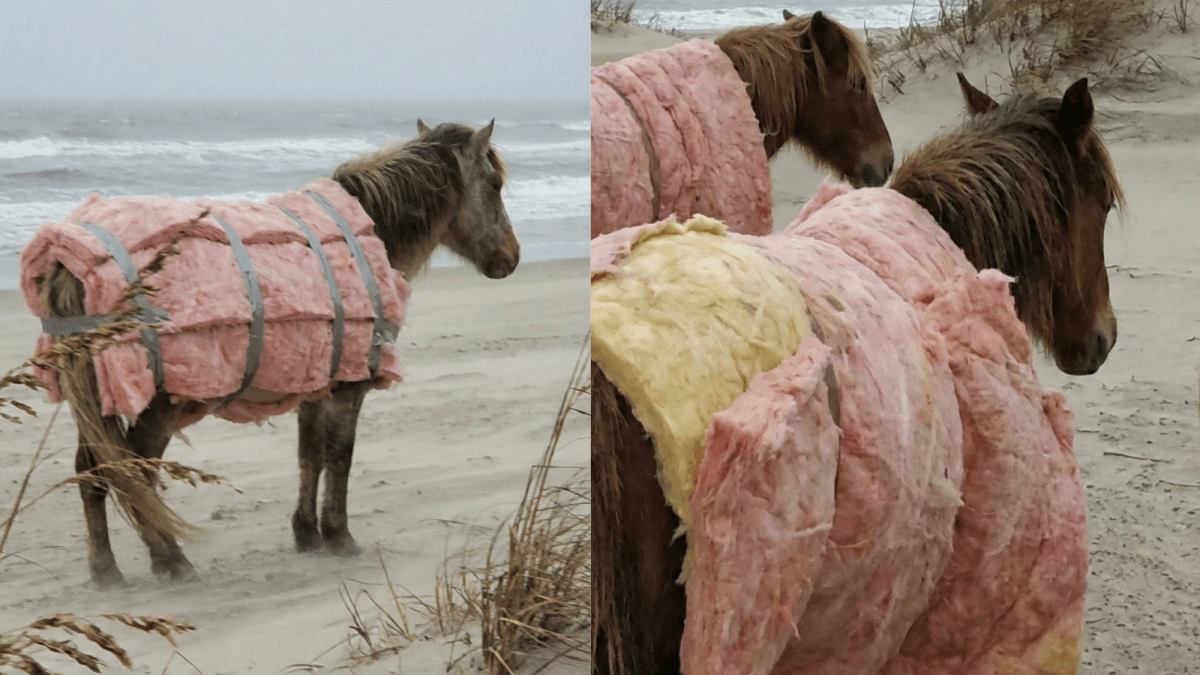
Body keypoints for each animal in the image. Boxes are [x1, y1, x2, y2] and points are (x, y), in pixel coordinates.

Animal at [31, 119, 519, 588]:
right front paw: (339, 535)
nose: (511, 258)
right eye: (494, 183)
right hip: (157, 404)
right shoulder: (350, 384)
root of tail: (69, 264)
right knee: (133, 474)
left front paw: (308, 534)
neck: (370, 232)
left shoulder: (318, 381)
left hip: (96, 399)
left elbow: (310, 455)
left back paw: (106, 570)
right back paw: (171, 561)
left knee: (93, 473)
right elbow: (340, 455)